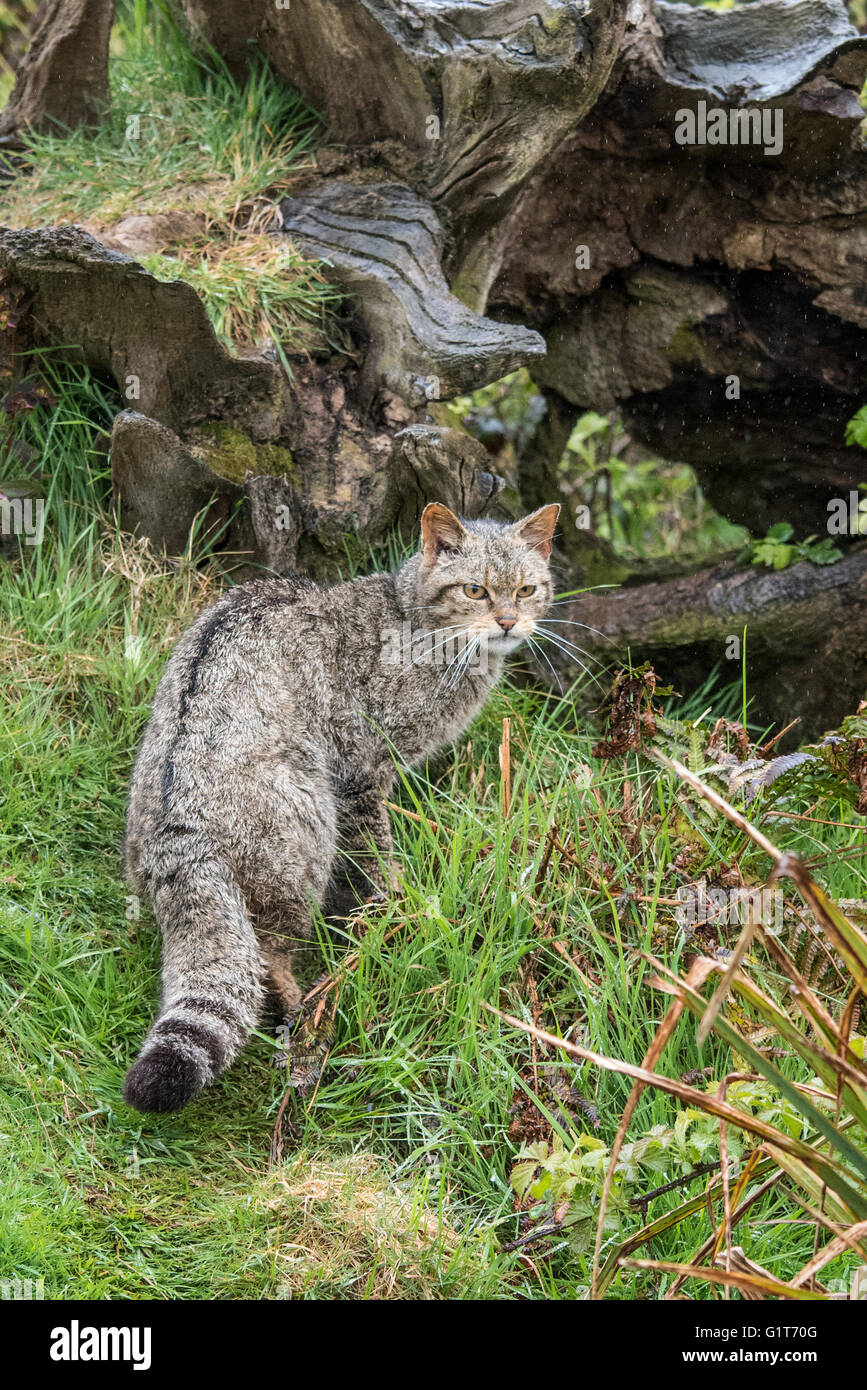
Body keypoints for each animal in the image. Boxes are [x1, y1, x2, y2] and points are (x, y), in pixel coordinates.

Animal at [122, 497, 558, 1106]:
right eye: (475, 590)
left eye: (526, 589)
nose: (509, 622)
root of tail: (177, 833)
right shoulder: (361, 771)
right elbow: (377, 859)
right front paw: (399, 911)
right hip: (303, 840)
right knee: (267, 954)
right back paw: (303, 1009)